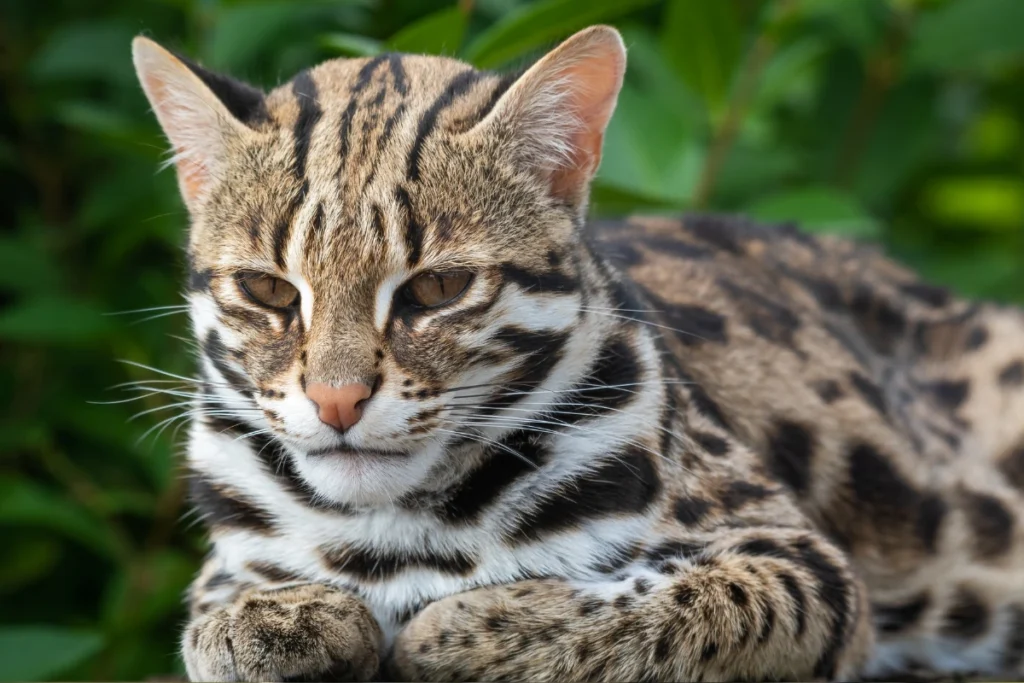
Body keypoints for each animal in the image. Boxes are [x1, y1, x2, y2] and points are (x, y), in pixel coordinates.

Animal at [130, 24, 1024, 679]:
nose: (337, 400)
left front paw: (456, 630)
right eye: (269, 290)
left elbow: (671, 606)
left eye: (437, 289)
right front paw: (273, 619)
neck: (389, 533)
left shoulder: (801, 561)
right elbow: (214, 612)